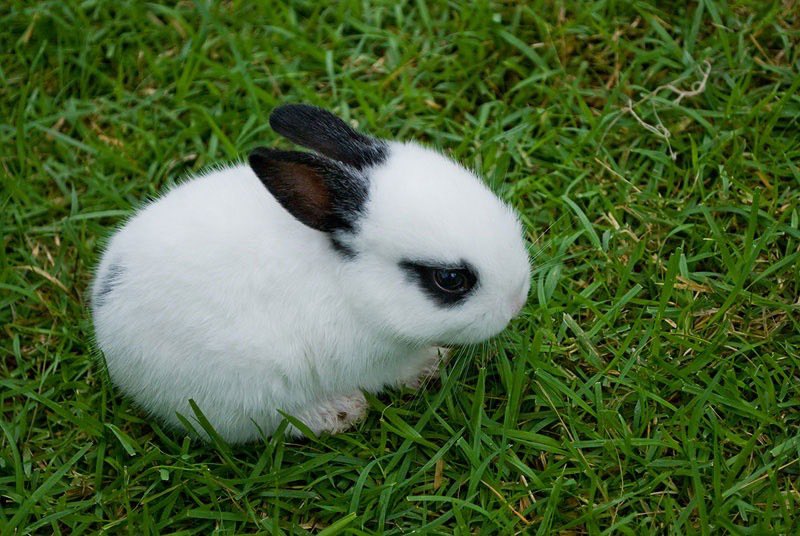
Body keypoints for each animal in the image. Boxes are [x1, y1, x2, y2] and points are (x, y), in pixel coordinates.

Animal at [91, 104, 531, 444]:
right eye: (450, 280)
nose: (516, 302)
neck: (348, 284)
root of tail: (104, 316)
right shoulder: (375, 361)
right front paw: (429, 366)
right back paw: (340, 412)